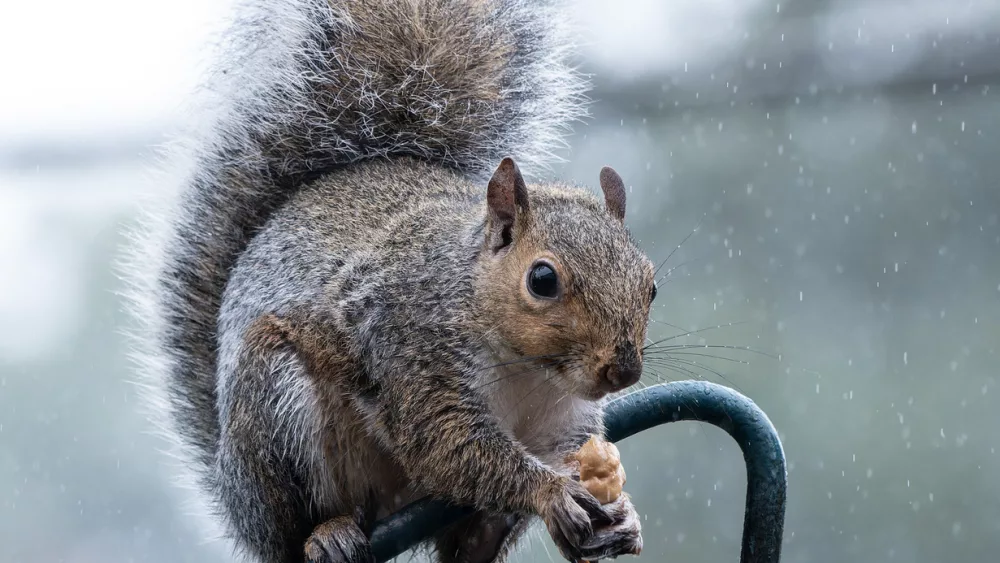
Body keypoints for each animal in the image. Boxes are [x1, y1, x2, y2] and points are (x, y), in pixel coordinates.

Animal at [125, 1, 656, 563]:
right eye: (542, 279)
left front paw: (621, 515)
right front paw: (550, 490)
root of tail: (237, 502)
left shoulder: (562, 421)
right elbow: (448, 444)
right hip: (273, 402)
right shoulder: (410, 349)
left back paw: (486, 534)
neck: (527, 369)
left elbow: (564, 450)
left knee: (466, 548)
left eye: (651, 286)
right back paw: (327, 532)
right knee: (294, 526)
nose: (622, 372)